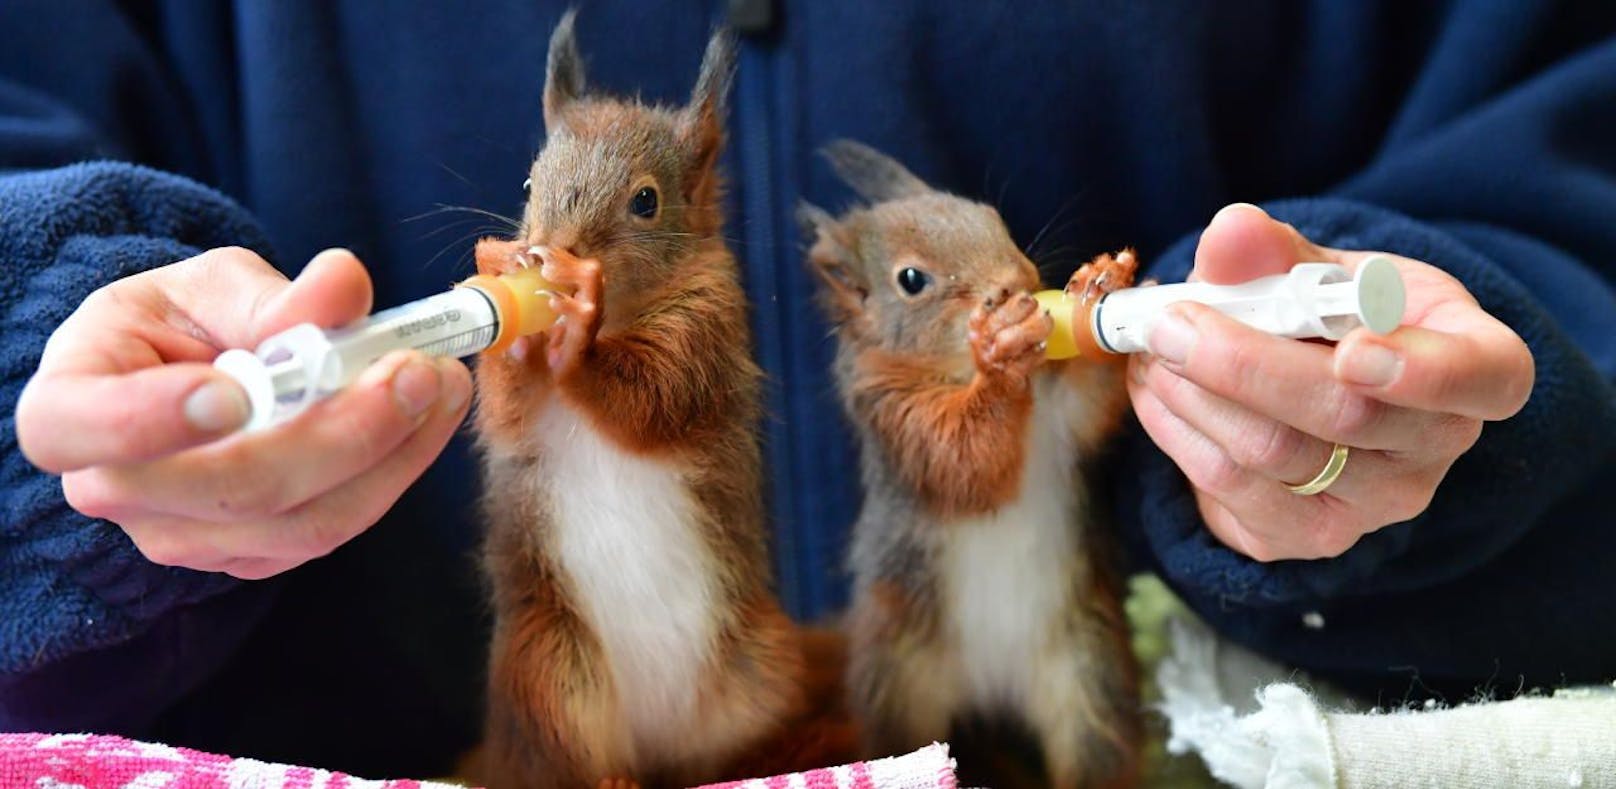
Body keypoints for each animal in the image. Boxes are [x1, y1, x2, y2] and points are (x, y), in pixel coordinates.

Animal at [468, 13, 840, 789]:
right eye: (530, 181)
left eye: (647, 200)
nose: (548, 250)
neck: (622, 314)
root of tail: (654, 743)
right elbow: (508, 415)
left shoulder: (706, 335)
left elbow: (653, 402)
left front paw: (575, 338)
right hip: (549, 666)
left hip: (759, 670)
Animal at [801, 139, 1144, 789]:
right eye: (911, 280)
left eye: (991, 217)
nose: (1014, 286)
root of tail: (993, 687)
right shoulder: (897, 419)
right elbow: (963, 459)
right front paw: (999, 359)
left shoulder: (1059, 416)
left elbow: (1087, 402)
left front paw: (1099, 284)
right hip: (897, 680)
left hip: (1087, 674)